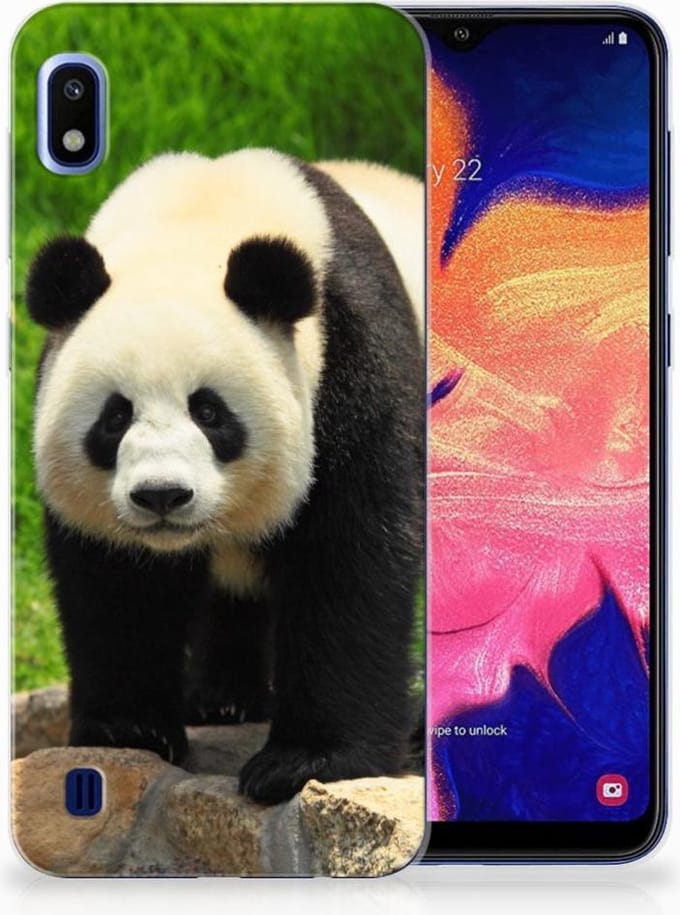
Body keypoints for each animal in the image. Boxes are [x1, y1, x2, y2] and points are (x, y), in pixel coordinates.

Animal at [25, 149, 424, 804]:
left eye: (209, 412)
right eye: (115, 417)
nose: (162, 495)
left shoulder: (354, 361)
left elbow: (350, 557)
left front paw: (305, 761)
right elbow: (117, 581)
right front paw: (129, 729)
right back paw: (223, 699)